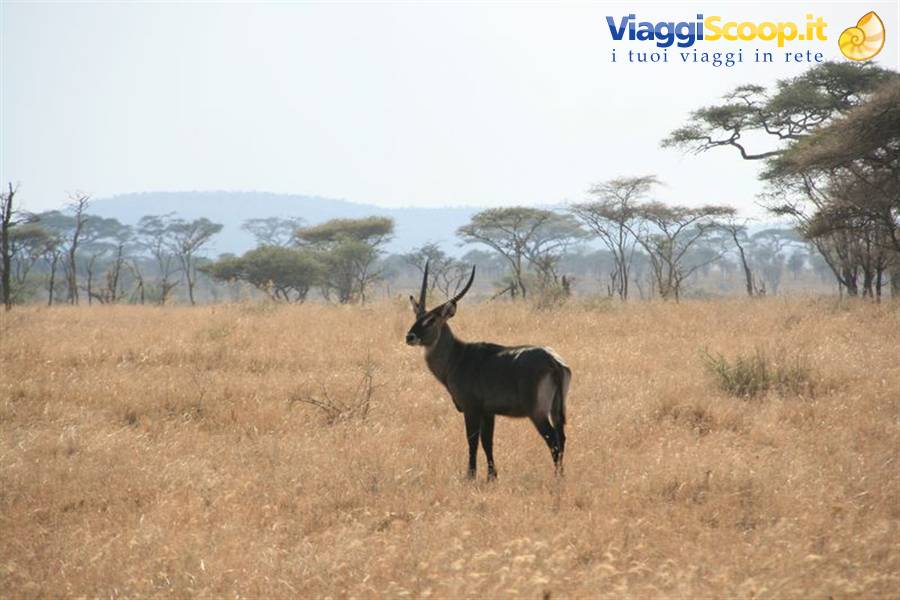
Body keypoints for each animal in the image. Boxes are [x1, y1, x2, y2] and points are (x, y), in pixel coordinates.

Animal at [405, 263, 571, 480]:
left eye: (432, 320)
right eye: (417, 316)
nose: (410, 336)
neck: (458, 356)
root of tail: (553, 361)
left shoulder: (472, 409)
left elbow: (472, 442)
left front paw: (470, 475)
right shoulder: (488, 412)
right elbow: (488, 442)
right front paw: (492, 476)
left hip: (538, 413)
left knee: (553, 440)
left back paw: (556, 478)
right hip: (556, 411)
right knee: (562, 438)